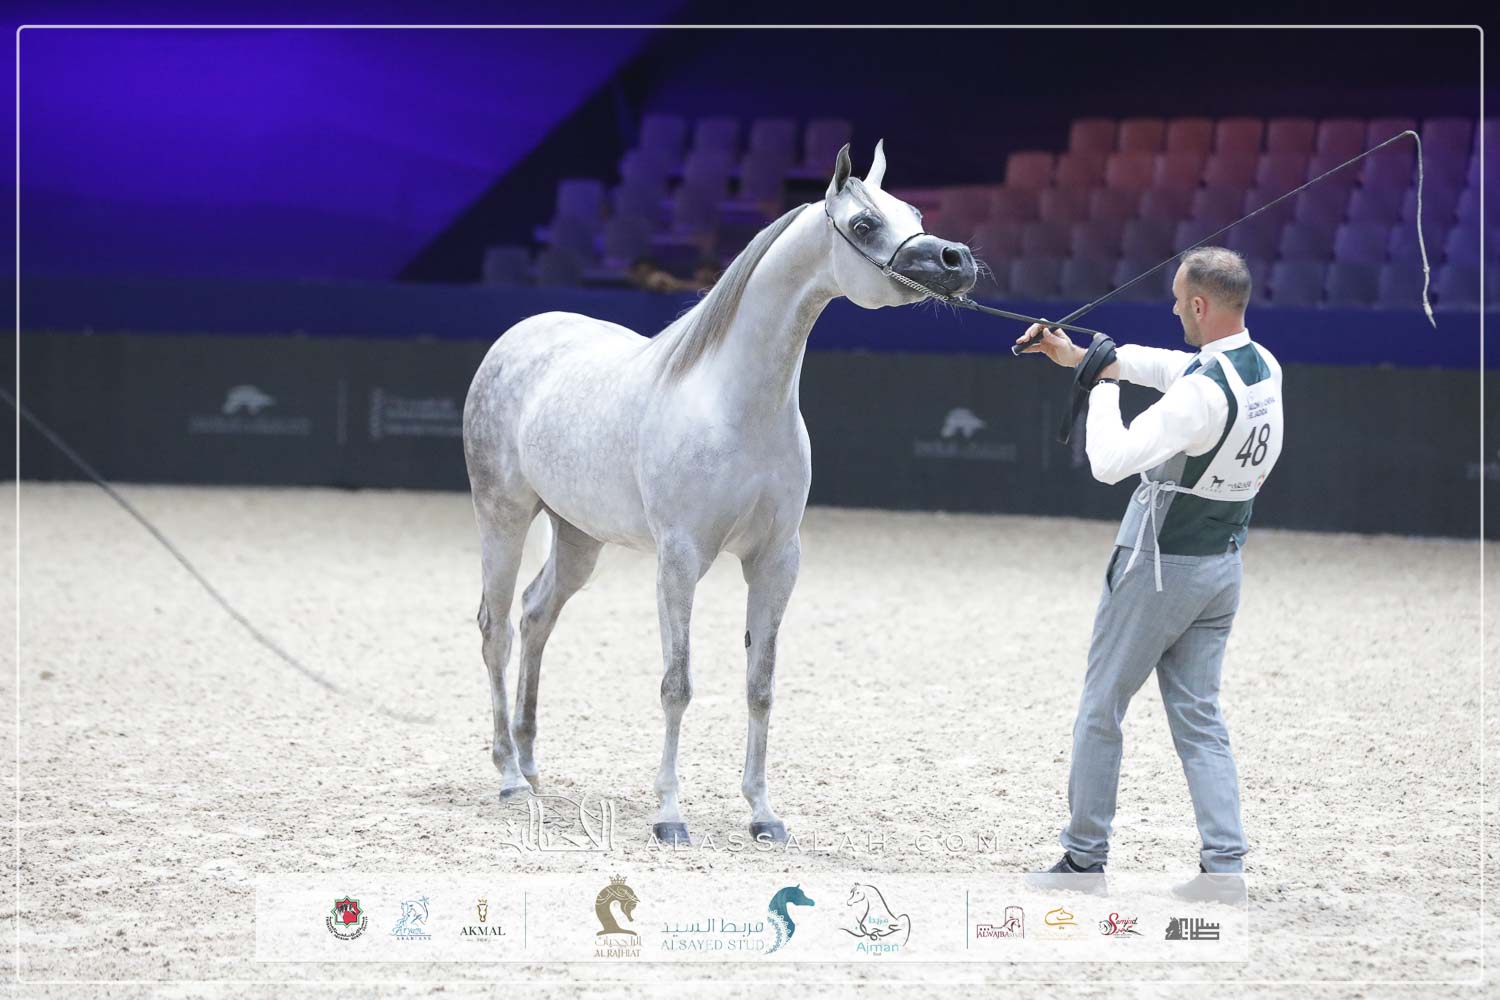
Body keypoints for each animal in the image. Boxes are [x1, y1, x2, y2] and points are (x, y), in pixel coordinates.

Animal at [462, 141, 976, 846]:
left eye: (916, 212)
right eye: (867, 223)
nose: (957, 260)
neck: (736, 407)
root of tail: (516, 339)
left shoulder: (776, 562)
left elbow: (761, 685)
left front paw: (762, 814)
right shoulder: (680, 559)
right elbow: (677, 683)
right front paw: (669, 815)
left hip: (579, 536)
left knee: (537, 615)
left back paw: (533, 761)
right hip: (504, 518)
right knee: (496, 630)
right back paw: (510, 775)